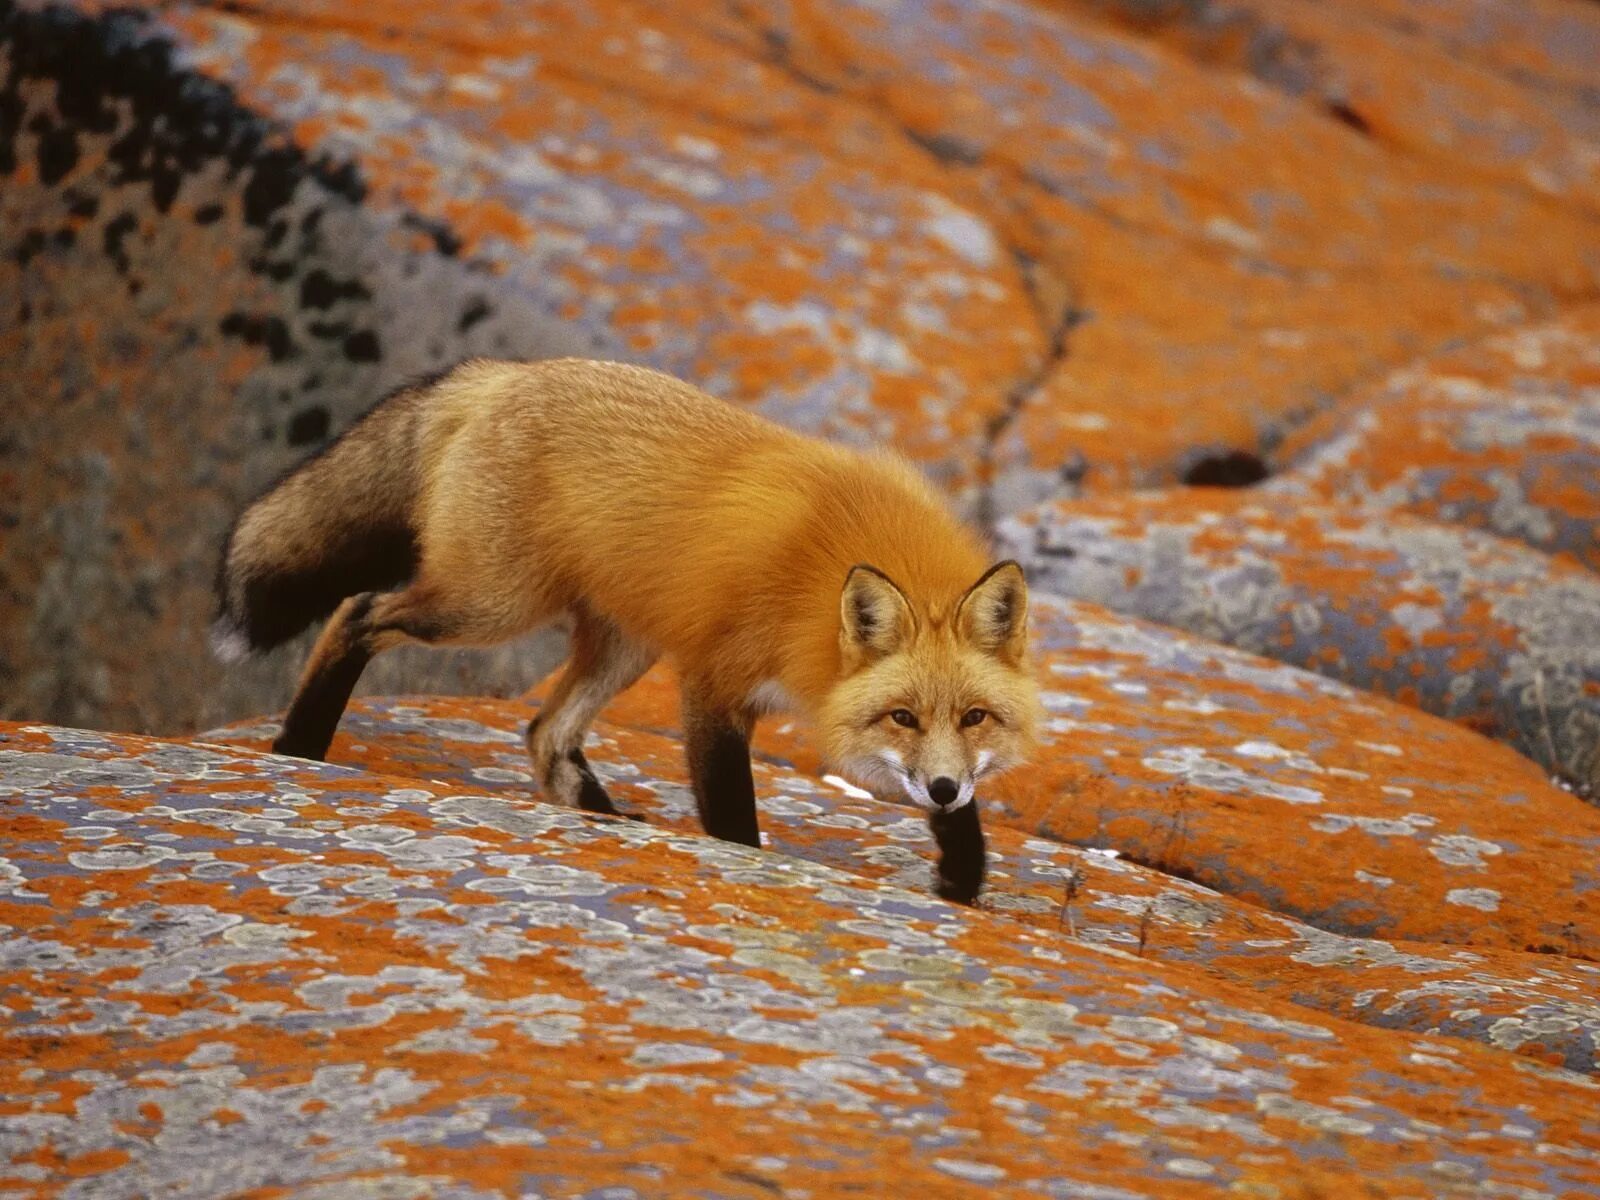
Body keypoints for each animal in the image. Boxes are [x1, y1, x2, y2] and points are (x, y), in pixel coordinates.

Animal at [212, 356, 1043, 902]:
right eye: (902, 717)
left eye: (975, 717)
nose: (940, 788)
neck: (821, 578)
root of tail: (505, 372)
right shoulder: (713, 680)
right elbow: (731, 814)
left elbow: (966, 817)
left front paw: (962, 876)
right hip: (489, 606)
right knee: (357, 612)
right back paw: (299, 745)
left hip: (623, 642)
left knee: (545, 732)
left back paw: (608, 822)